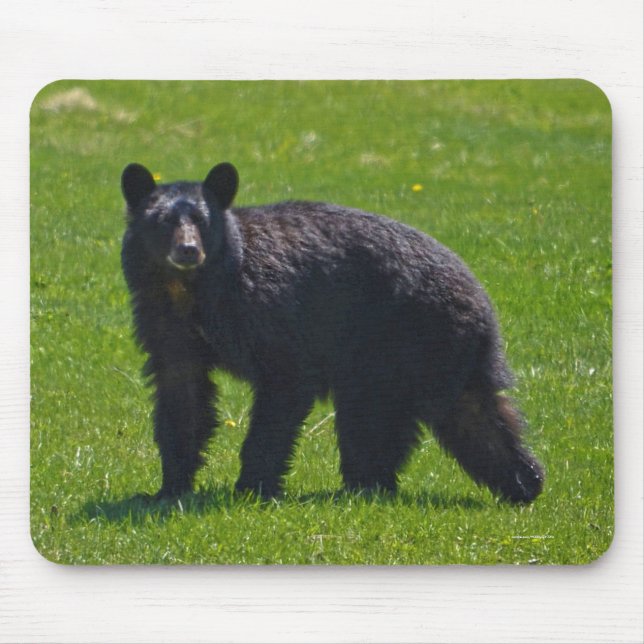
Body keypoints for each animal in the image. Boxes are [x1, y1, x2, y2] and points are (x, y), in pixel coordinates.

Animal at [120, 161, 544, 503]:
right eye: (162, 222)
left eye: (203, 222)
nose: (188, 251)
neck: (191, 289)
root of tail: (480, 294)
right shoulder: (165, 321)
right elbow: (183, 393)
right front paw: (169, 487)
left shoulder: (270, 309)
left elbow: (284, 384)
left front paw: (251, 487)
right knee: (462, 413)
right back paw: (518, 482)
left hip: (416, 335)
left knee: (413, 413)